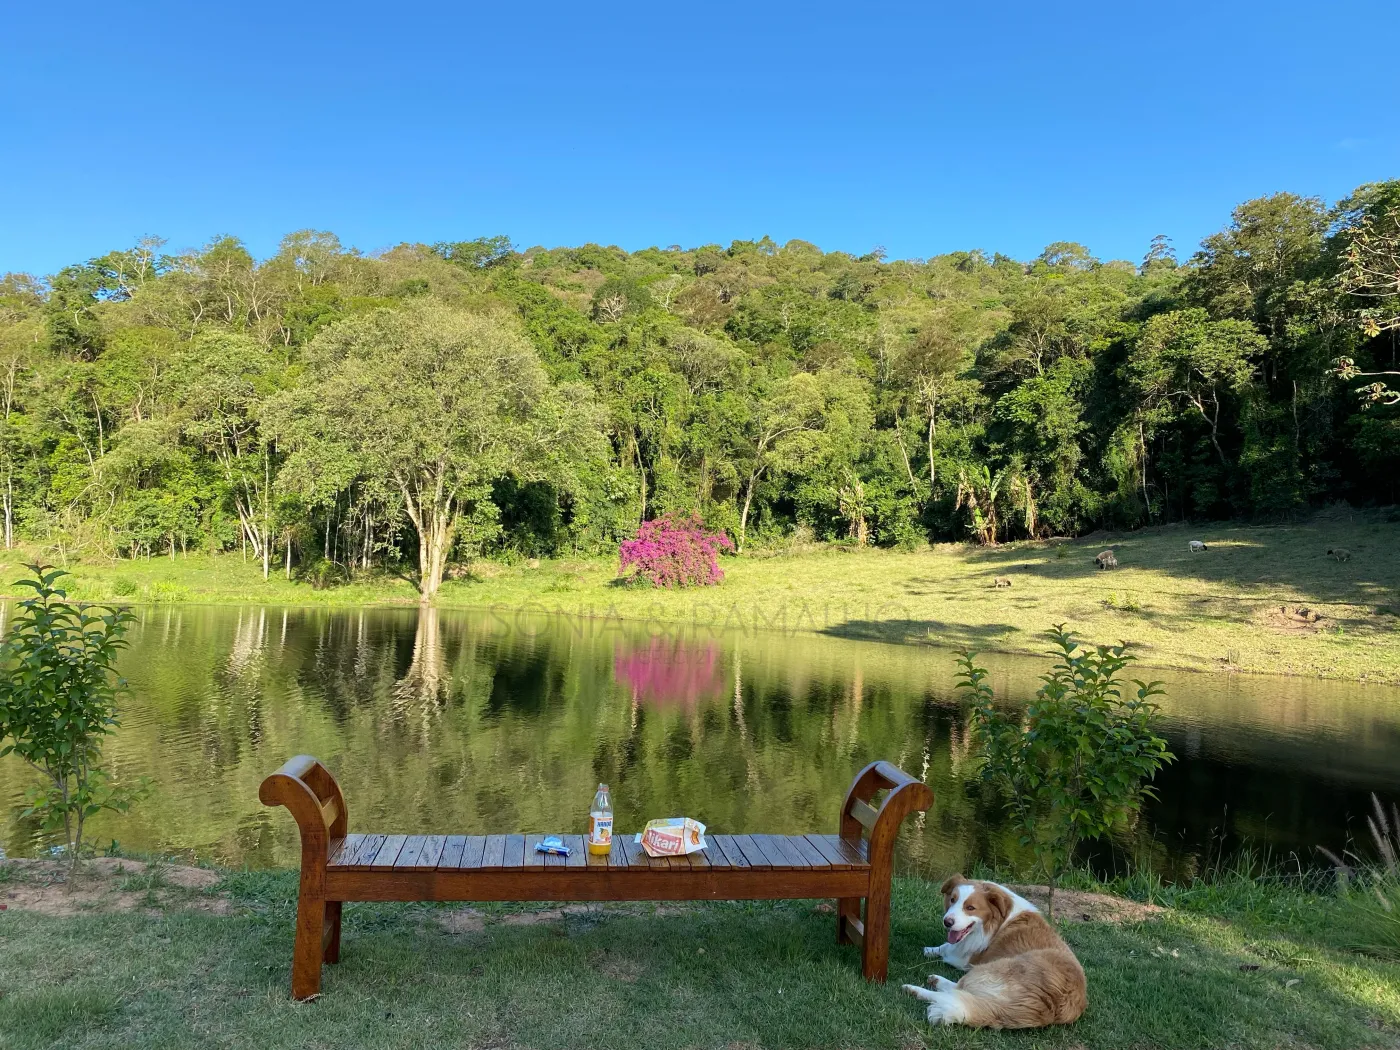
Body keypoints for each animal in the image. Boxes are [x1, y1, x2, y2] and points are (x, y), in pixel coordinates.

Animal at [902, 875, 1087, 1029]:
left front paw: (932, 951)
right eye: (952, 900)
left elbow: (949, 947)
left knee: (957, 991)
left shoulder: (968, 957)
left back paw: (916, 989)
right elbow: (946, 945)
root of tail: (1047, 1005)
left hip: (989, 968)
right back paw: (935, 981)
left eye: (970, 907)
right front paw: (931, 950)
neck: (996, 919)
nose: (947, 922)